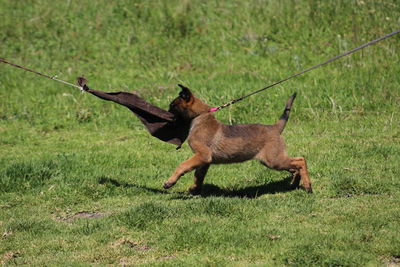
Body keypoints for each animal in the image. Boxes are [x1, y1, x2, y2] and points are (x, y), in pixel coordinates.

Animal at [163, 85, 312, 196]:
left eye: (172, 106)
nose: (166, 117)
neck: (200, 116)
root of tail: (275, 128)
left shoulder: (202, 155)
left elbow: (183, 165)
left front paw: (170, 182)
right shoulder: (204, 161)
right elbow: (198, 176)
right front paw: (195, 189)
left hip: (274, 160)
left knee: (301, 161)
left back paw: (308, 186)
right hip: (274, 160)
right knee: (295, 167)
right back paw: (296, 184)